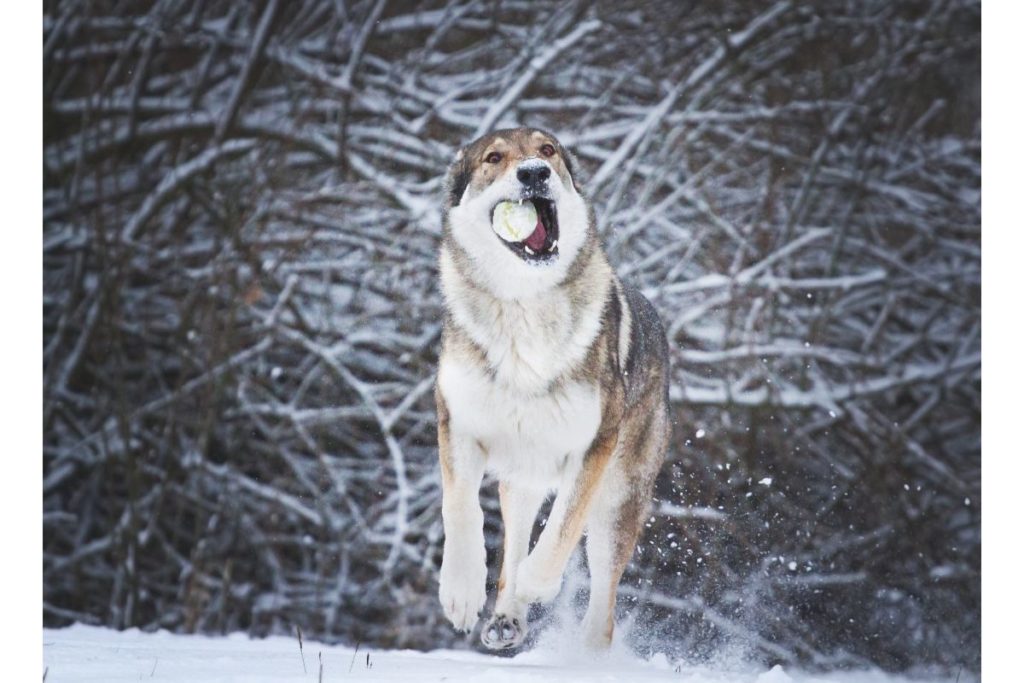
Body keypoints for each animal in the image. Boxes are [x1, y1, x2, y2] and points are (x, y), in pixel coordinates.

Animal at [434, 125, 667, 651]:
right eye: (494, 158)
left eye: (547, 151)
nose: (534, 173)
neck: (524, 305)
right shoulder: (456, 422)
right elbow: (459, 509)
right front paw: (460, 593)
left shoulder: (594, 446)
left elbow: (562, 525)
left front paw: (539, 584)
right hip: (521, 477)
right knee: (514, 540)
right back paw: (505, 619)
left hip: (617, 502)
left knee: (602, 604)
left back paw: (583, 652)